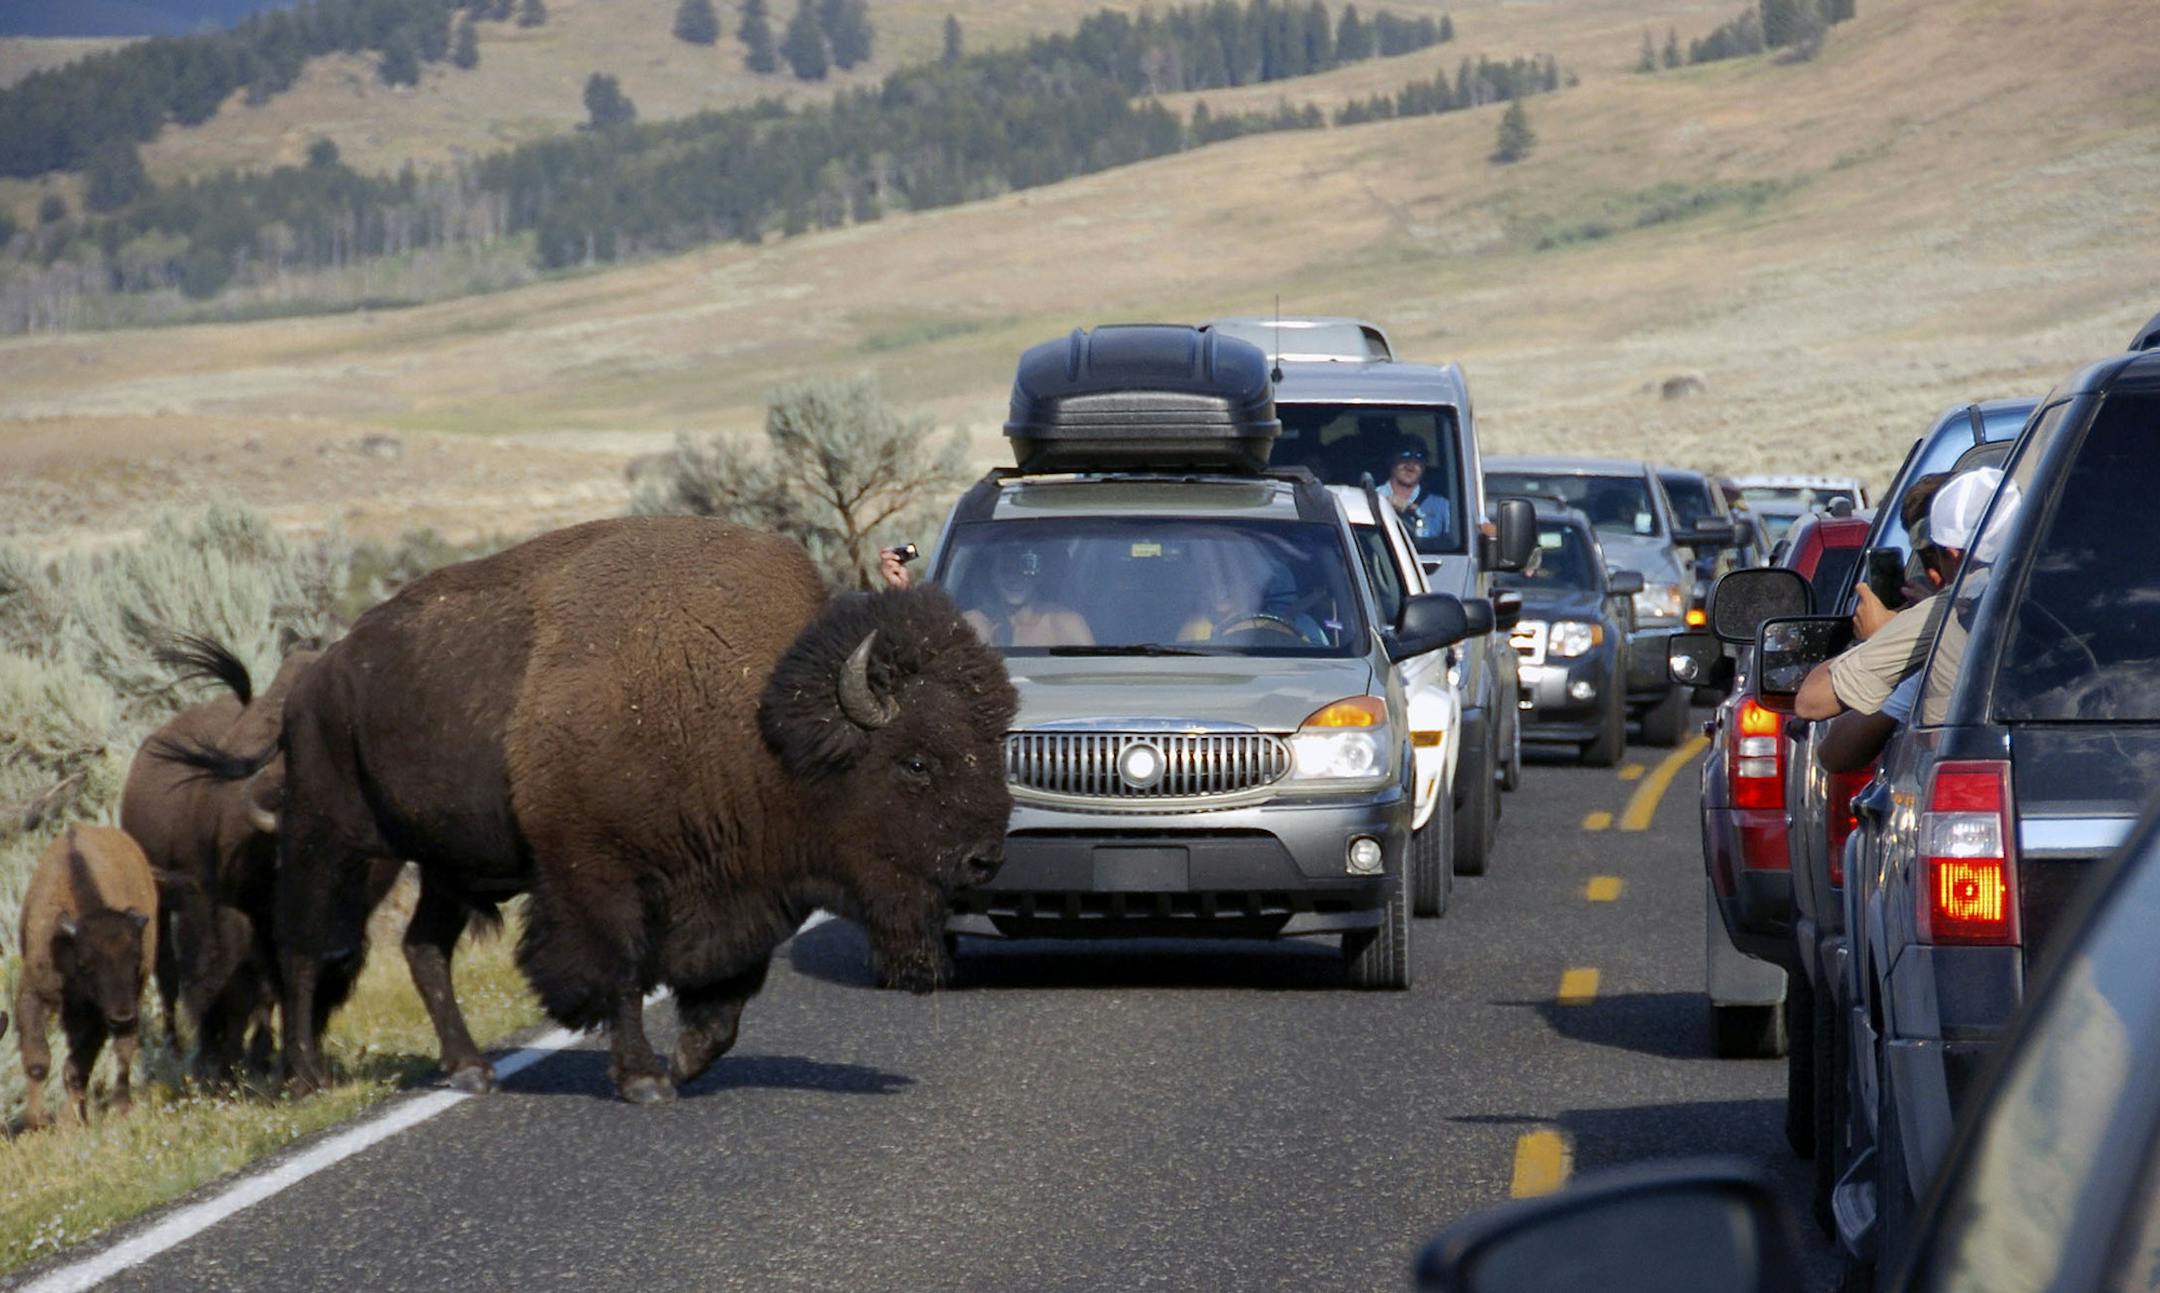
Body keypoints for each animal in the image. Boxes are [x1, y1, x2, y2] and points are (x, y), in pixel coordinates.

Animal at [169, 518, 1016, 1102]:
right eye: (915, 760)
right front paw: (644, 1077)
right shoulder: (597, 876)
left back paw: (471, 1069)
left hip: (448, 865)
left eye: (993, 741)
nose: (985, 855)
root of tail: (313, 678)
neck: (756, 717)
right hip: (330, 838)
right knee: (304, 948)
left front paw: (683, 1062)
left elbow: (724, 999)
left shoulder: (740, 891)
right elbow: (623, 970)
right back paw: (306, 1077)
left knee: (422, 947)